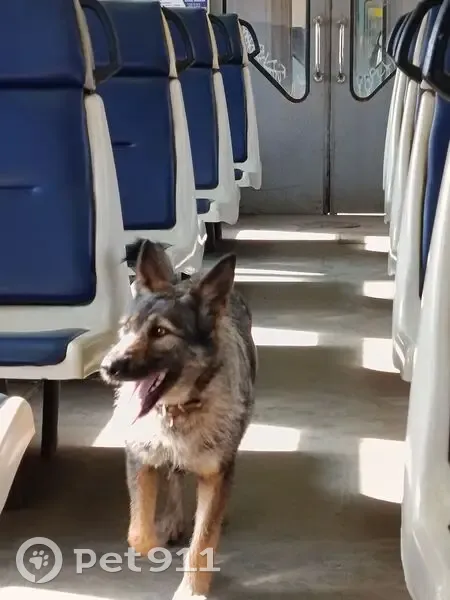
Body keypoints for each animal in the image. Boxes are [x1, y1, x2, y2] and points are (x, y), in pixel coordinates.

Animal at [100, 239, 257, 599]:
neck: (179, 408)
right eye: (127, 328)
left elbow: (203, 539)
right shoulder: (139, 458)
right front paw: (155, 542)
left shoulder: (216, 473)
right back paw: (172, 519)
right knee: (171, 475)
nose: (107, 367)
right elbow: (138, 534)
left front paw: (191, 589)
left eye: (160, 332)